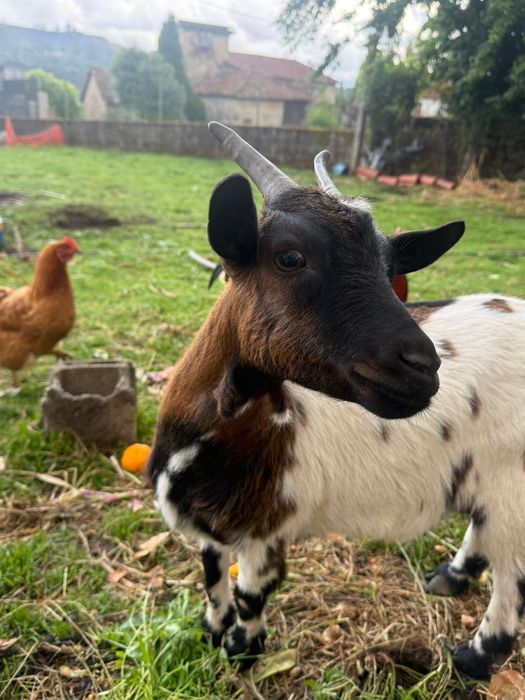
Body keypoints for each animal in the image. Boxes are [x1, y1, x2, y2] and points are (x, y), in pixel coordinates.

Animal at [148, 122, 525, 679]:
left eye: (390, 268)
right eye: (289, 257)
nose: (423, 367)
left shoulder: (264, 527)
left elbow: (250, 593)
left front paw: (242, 650)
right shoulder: (212, 527)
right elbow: (212, 574)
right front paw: (212, 631)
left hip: (513, 481)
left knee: (513, 569)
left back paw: (477, 656)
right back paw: (448, 579)